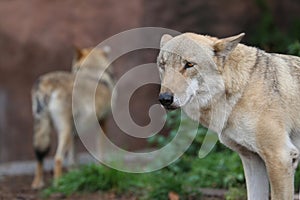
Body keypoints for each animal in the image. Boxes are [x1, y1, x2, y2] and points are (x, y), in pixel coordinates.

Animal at [31, 46, 114, 189]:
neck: (93, 73)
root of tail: (47, 83)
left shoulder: (75, 132)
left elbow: (72, 157)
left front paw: (74, 173)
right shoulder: (102, 122)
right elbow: (100, 153)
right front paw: (102, 170)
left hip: (46, 130)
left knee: (39, 156)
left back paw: (37, 184)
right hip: (64, 132)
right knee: (57, 158)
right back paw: (59, 185)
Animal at [157, 32, 300, 199]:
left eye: (189, 65)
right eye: (163, 65)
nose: (165, 99)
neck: (243, 89)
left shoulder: (280, 158)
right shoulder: (252, 159)